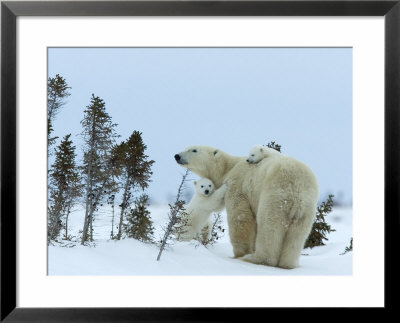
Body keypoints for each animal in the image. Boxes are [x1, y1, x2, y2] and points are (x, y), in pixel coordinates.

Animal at [175, 146, 318, 270]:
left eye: (194, 149)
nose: (177, 156)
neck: (229, 167)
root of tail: (298, 187)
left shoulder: (238, 184)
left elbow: (240, 216)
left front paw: (240, 254)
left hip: (276, 194)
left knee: (269, 226)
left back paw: (255, 258)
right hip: (306, 207)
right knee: (297, 234)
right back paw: (288, 264)